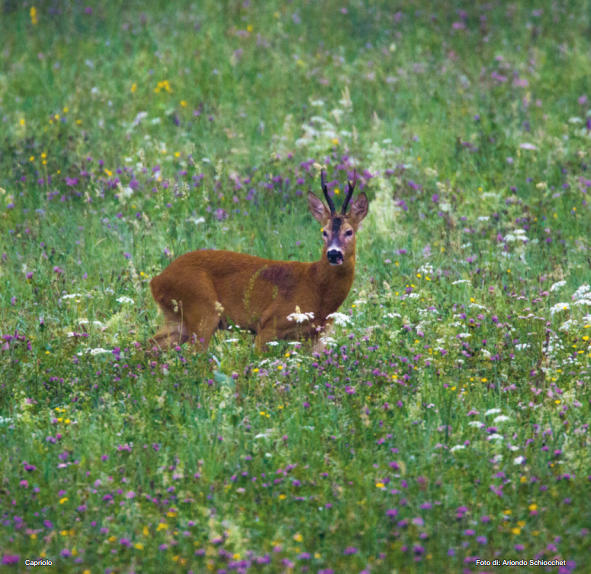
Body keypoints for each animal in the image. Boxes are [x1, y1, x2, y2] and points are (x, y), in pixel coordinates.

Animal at [150, 171, 368, 352]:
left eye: (349, 231)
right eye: (324, 231)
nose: (333, 254)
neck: (317, 288)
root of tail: (156, 281)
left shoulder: (317, 337)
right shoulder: (268, 324)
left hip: (177, 321)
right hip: (202, 309)